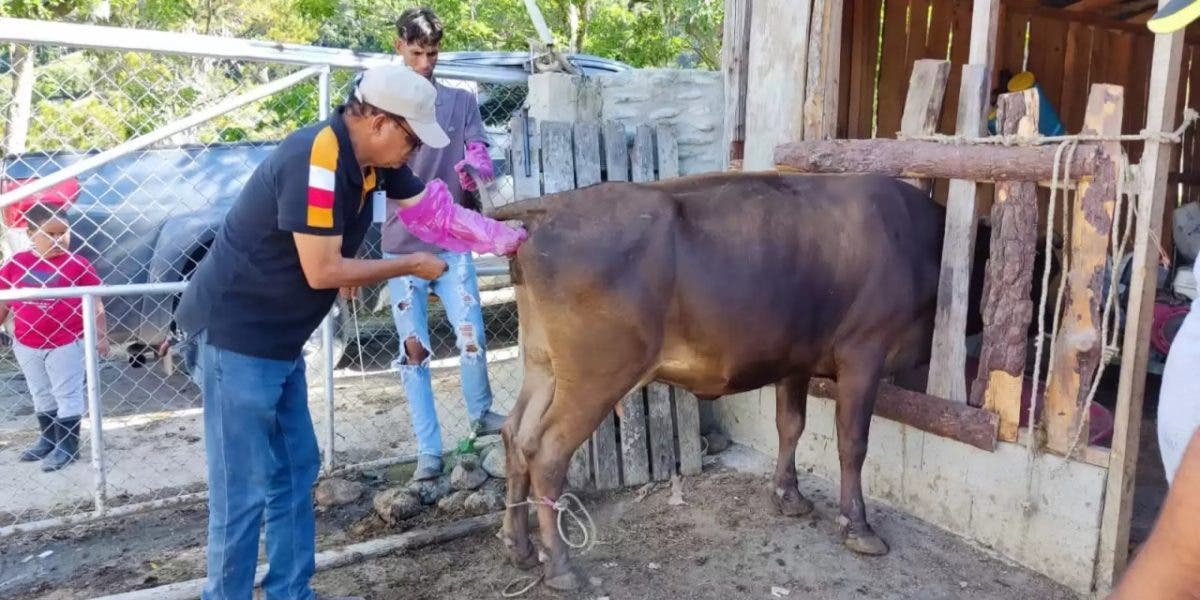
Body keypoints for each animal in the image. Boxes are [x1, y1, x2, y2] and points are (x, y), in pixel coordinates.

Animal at [487, 170, 945, 590]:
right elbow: (852, 444)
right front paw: (858, 526)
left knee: (516, 434)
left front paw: (789, 497)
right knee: (547, 450)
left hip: (542, 364)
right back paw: (560, 568)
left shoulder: (794, 359)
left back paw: (518, 547)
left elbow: (790, 426)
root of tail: (553, 206)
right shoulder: (863, 353)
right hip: (596, 375)